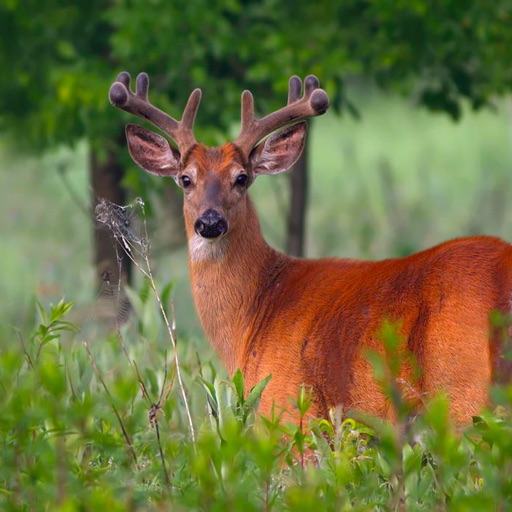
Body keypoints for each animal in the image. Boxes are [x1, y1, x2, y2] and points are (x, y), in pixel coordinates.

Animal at [109, 71, 512, 424]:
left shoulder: (286, 407)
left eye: (241, 178)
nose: (210, 222)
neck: (255, 313)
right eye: (185, 179)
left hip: (462, 393)